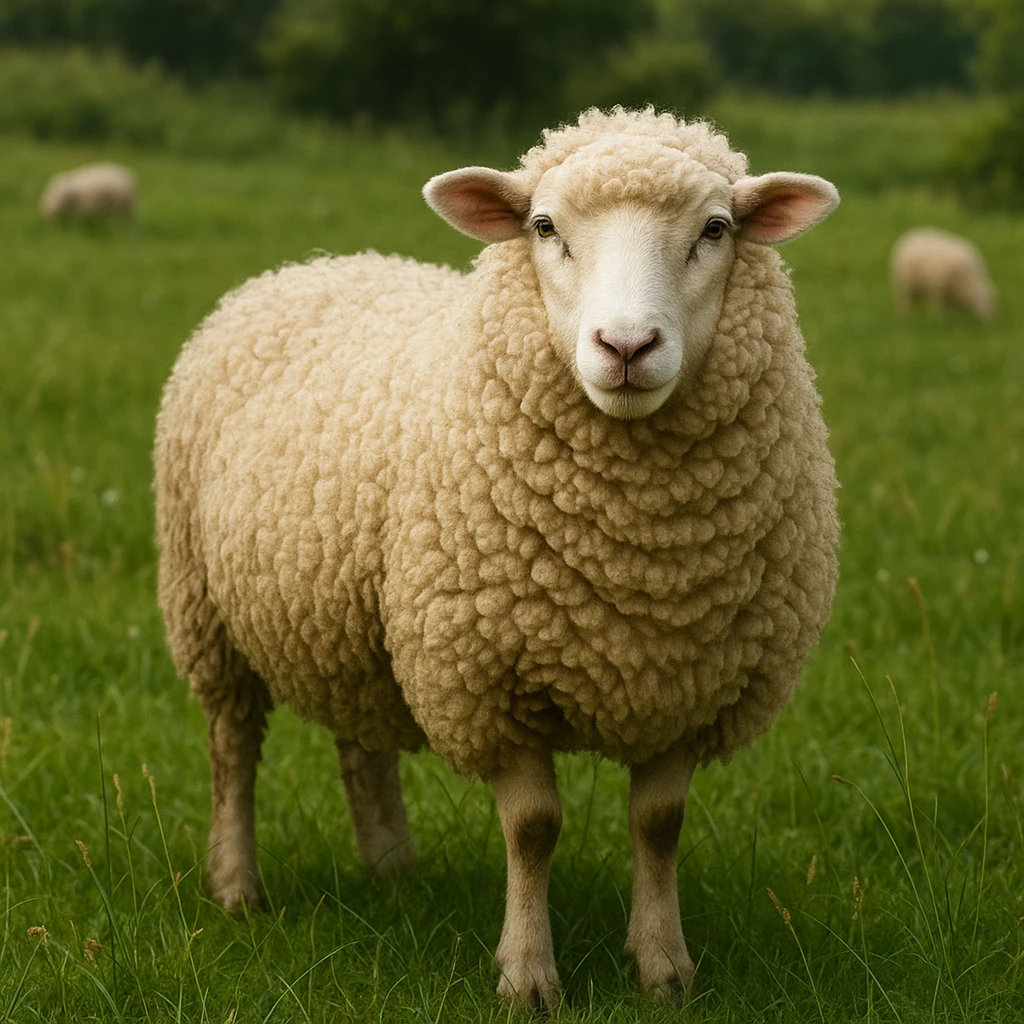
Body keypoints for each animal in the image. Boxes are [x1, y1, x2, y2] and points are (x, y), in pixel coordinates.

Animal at [154, 107, 841, 1009]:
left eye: (716, 230)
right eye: (543, 227)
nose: (627, 346)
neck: (643, 559)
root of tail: (317, 263)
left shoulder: (688, 681)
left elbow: (658, 827)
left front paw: (664, 968)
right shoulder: (488, 675)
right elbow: (533, 828)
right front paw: (528, 976)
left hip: (360, 625)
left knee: (360, 744)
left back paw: (392, 868)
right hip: (206, 610)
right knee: (232, 749)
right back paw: (237, 887)